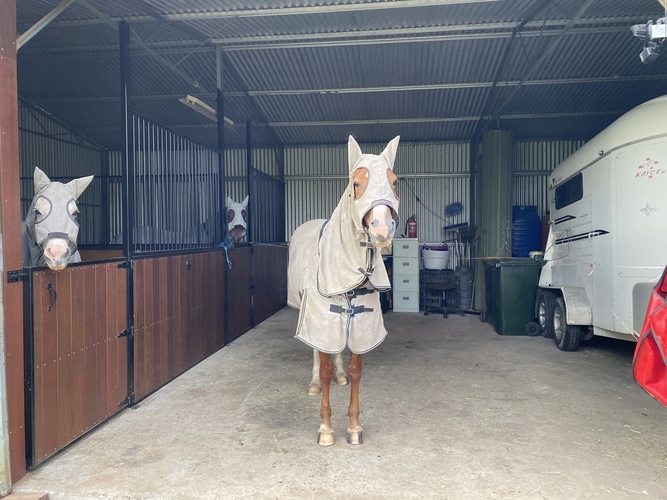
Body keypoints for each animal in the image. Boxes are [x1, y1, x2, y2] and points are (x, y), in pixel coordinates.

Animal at [287, 135, 400, 446]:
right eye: (356, 184)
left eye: (394, 182)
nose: (382, 229)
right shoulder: (320, 318)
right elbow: (324, 365)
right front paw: (326, 429)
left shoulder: (363, 323)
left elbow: (355, 370)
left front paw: (353, 427)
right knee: (318, 352)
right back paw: (314, 383)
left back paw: (339, 376)